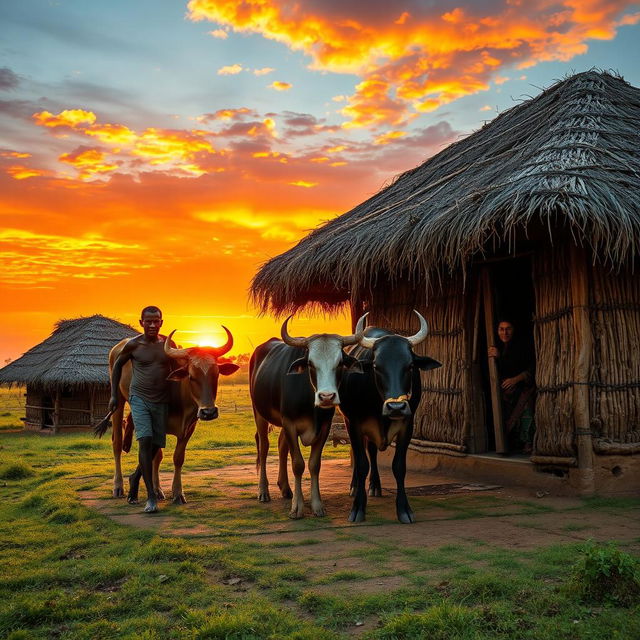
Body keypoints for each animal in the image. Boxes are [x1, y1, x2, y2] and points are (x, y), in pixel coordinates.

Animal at [250, 320, 362, 520]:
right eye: (311, 363)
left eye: (340, 363)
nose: (327, 397)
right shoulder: (290, 423)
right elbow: (298, 464)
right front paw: (297, 508)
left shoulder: (324, 427)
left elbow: (314, 464)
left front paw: (317, 505)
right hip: (259, 413)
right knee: (263, 447)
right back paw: (263, 491)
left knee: (281, 446)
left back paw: (285, 488)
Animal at [340, 312, 440, 524]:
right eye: (377, 366)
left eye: (410, 366)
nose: (396, 407)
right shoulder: (355, 423)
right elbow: (361, 464)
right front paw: (358, 508)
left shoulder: (407, 425)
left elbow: (399, 466)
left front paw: (404, 509)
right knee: (360, 455)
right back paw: (355, 487)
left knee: (372, 451)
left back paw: (375, 486)